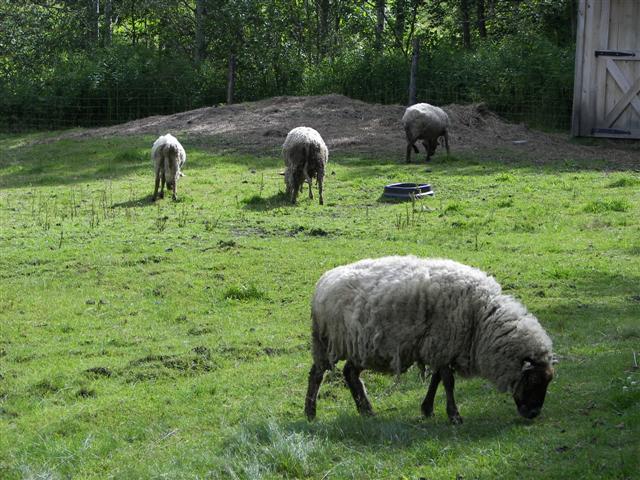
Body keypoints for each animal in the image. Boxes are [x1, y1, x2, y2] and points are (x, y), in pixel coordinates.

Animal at [304, 256, 554, 424]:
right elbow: (448, 381)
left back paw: (366, 410)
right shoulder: (442, 343)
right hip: (326, 341)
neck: (481, 318)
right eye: (533, 380)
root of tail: (323, 281)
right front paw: (454, 416)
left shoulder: (440, 347)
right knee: (317, 373)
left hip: (361, 345)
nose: (533, 414)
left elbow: (437, 379)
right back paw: (311, 413)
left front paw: (427, 409)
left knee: (349, 373)